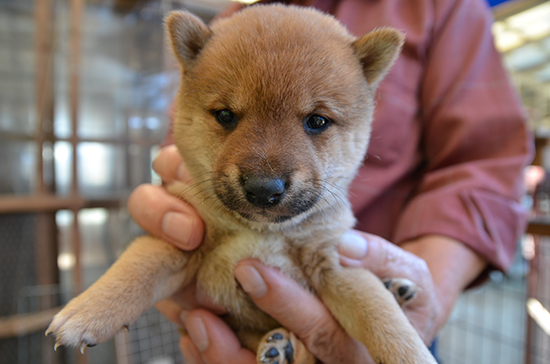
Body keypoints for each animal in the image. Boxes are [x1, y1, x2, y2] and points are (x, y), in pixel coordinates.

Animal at [46, 5, 436, 364]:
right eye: (225, 115)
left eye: (317, 121)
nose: (264, 188)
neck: (262, 233)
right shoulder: (183, 239)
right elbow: (135, 269)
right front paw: (86, 312)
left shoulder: (334, 265)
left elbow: (381, 318)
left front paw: (411, 352)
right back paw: (283, 344)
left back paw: (392, 289)